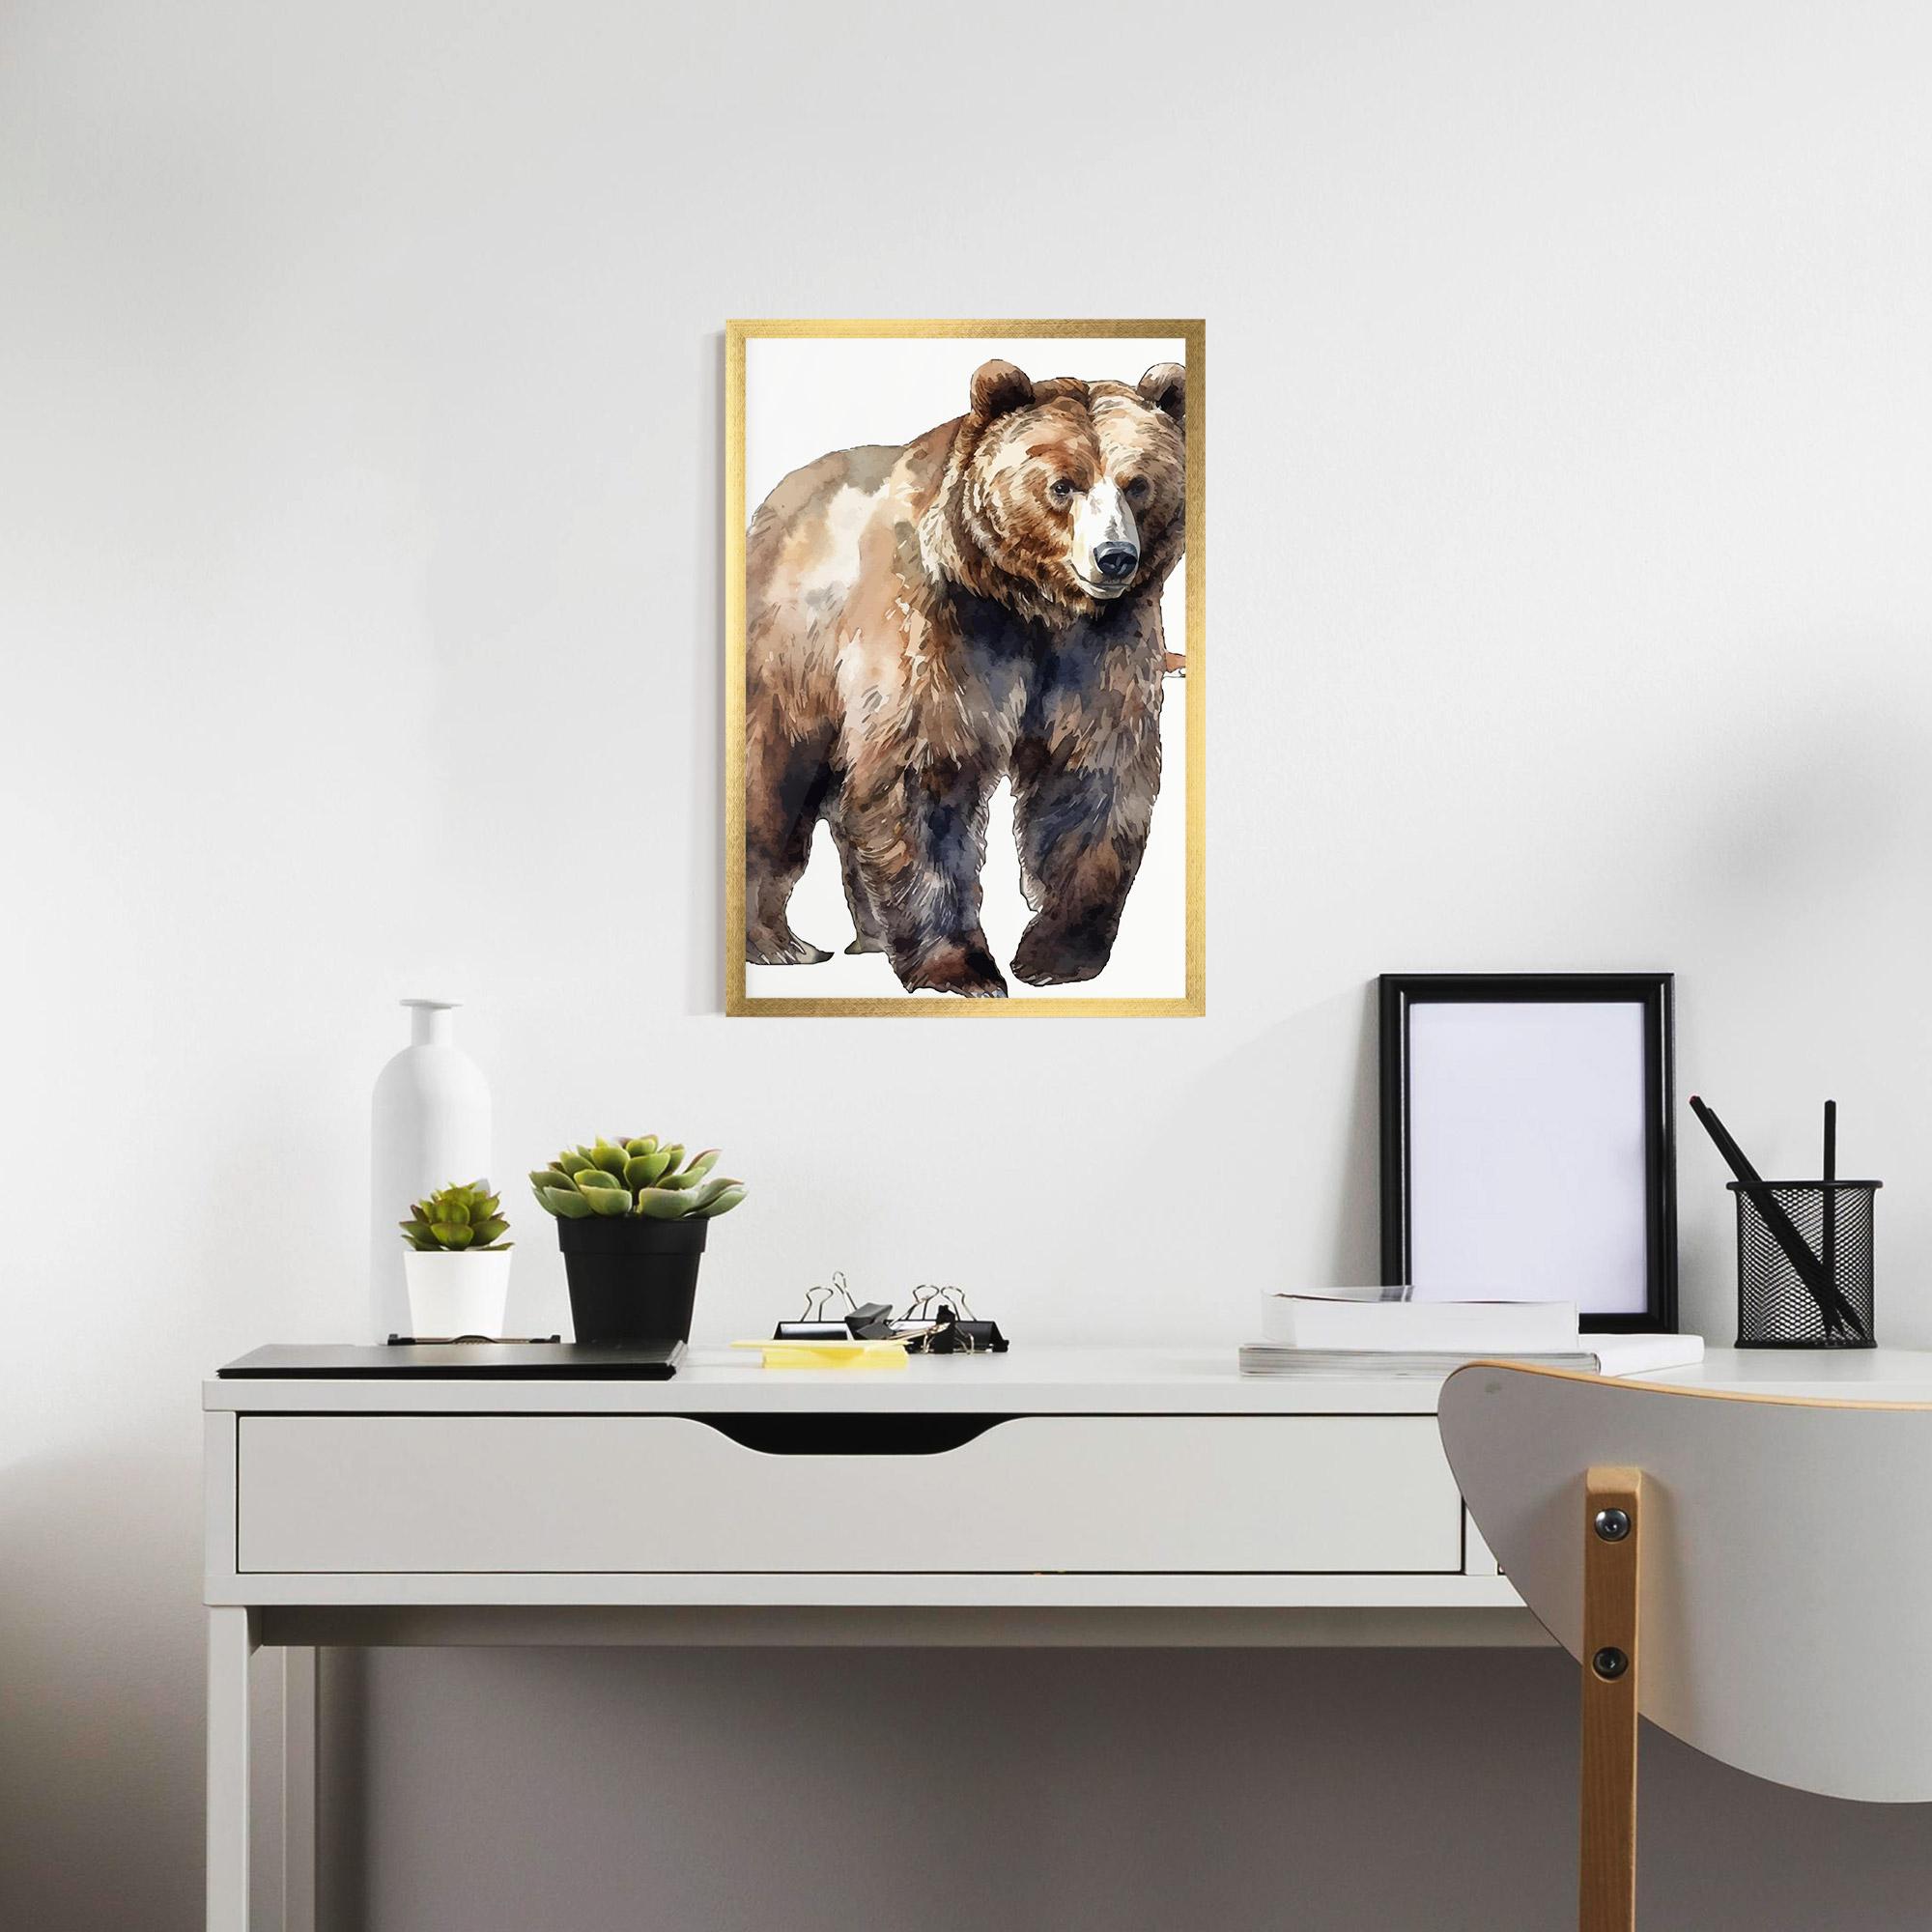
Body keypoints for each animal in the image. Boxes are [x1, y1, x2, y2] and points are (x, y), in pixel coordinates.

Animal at [742, 357, 1186, 998]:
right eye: (1063, 484)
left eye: (1137, 483)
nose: (1115, 557)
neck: (1034, 603)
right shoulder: (943, 627)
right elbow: (927, 775)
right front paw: (962, 969)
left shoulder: (1101, 648)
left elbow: (1089, 776)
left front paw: (1056, 955)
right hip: (791, 657)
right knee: (775, 779)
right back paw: (779, 943)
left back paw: (870, 936)